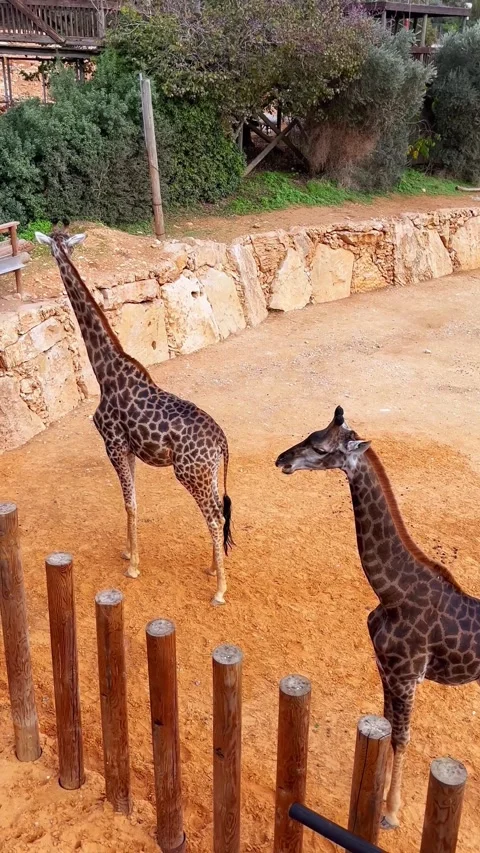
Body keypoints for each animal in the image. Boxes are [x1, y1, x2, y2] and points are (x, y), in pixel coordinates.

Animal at [35, 222, 233, 605]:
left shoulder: (112, 444)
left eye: (54, 246)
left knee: (216, 518)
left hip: (190, 473)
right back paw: (211, 567)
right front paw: (129, 553)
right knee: (219, 512)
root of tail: (222, 441)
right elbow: (133, 502)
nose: (52, 256)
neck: (104, 371)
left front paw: (133, 567)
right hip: (210, 472)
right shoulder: (128, 449)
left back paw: (219, 590)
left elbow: (129, 503)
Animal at [275, 406, 480, 829]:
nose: (281, 460)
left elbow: (402, 738)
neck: (390, 591)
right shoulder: (386, 670)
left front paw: (390, 813)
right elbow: (386, 730)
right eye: (310, 434)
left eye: (320, 448)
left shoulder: (407, 676)